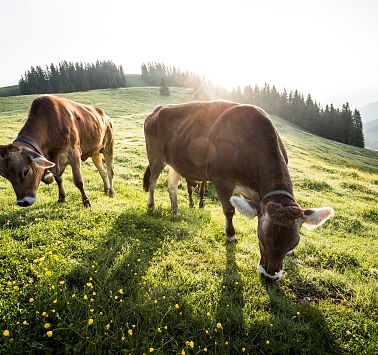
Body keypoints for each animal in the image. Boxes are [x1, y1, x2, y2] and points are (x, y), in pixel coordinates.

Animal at [142, 101, 334, 282]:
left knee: (171, 184)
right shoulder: (221, 180)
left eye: (292, 244)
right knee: (152, 182)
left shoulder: (257, 194)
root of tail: (158, 109)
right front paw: (231, 235)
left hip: (177, 162)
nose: (270, 276)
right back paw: (151, 205)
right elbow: (229, 210)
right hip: (155, 155)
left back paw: (175, 209)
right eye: (261, 239)